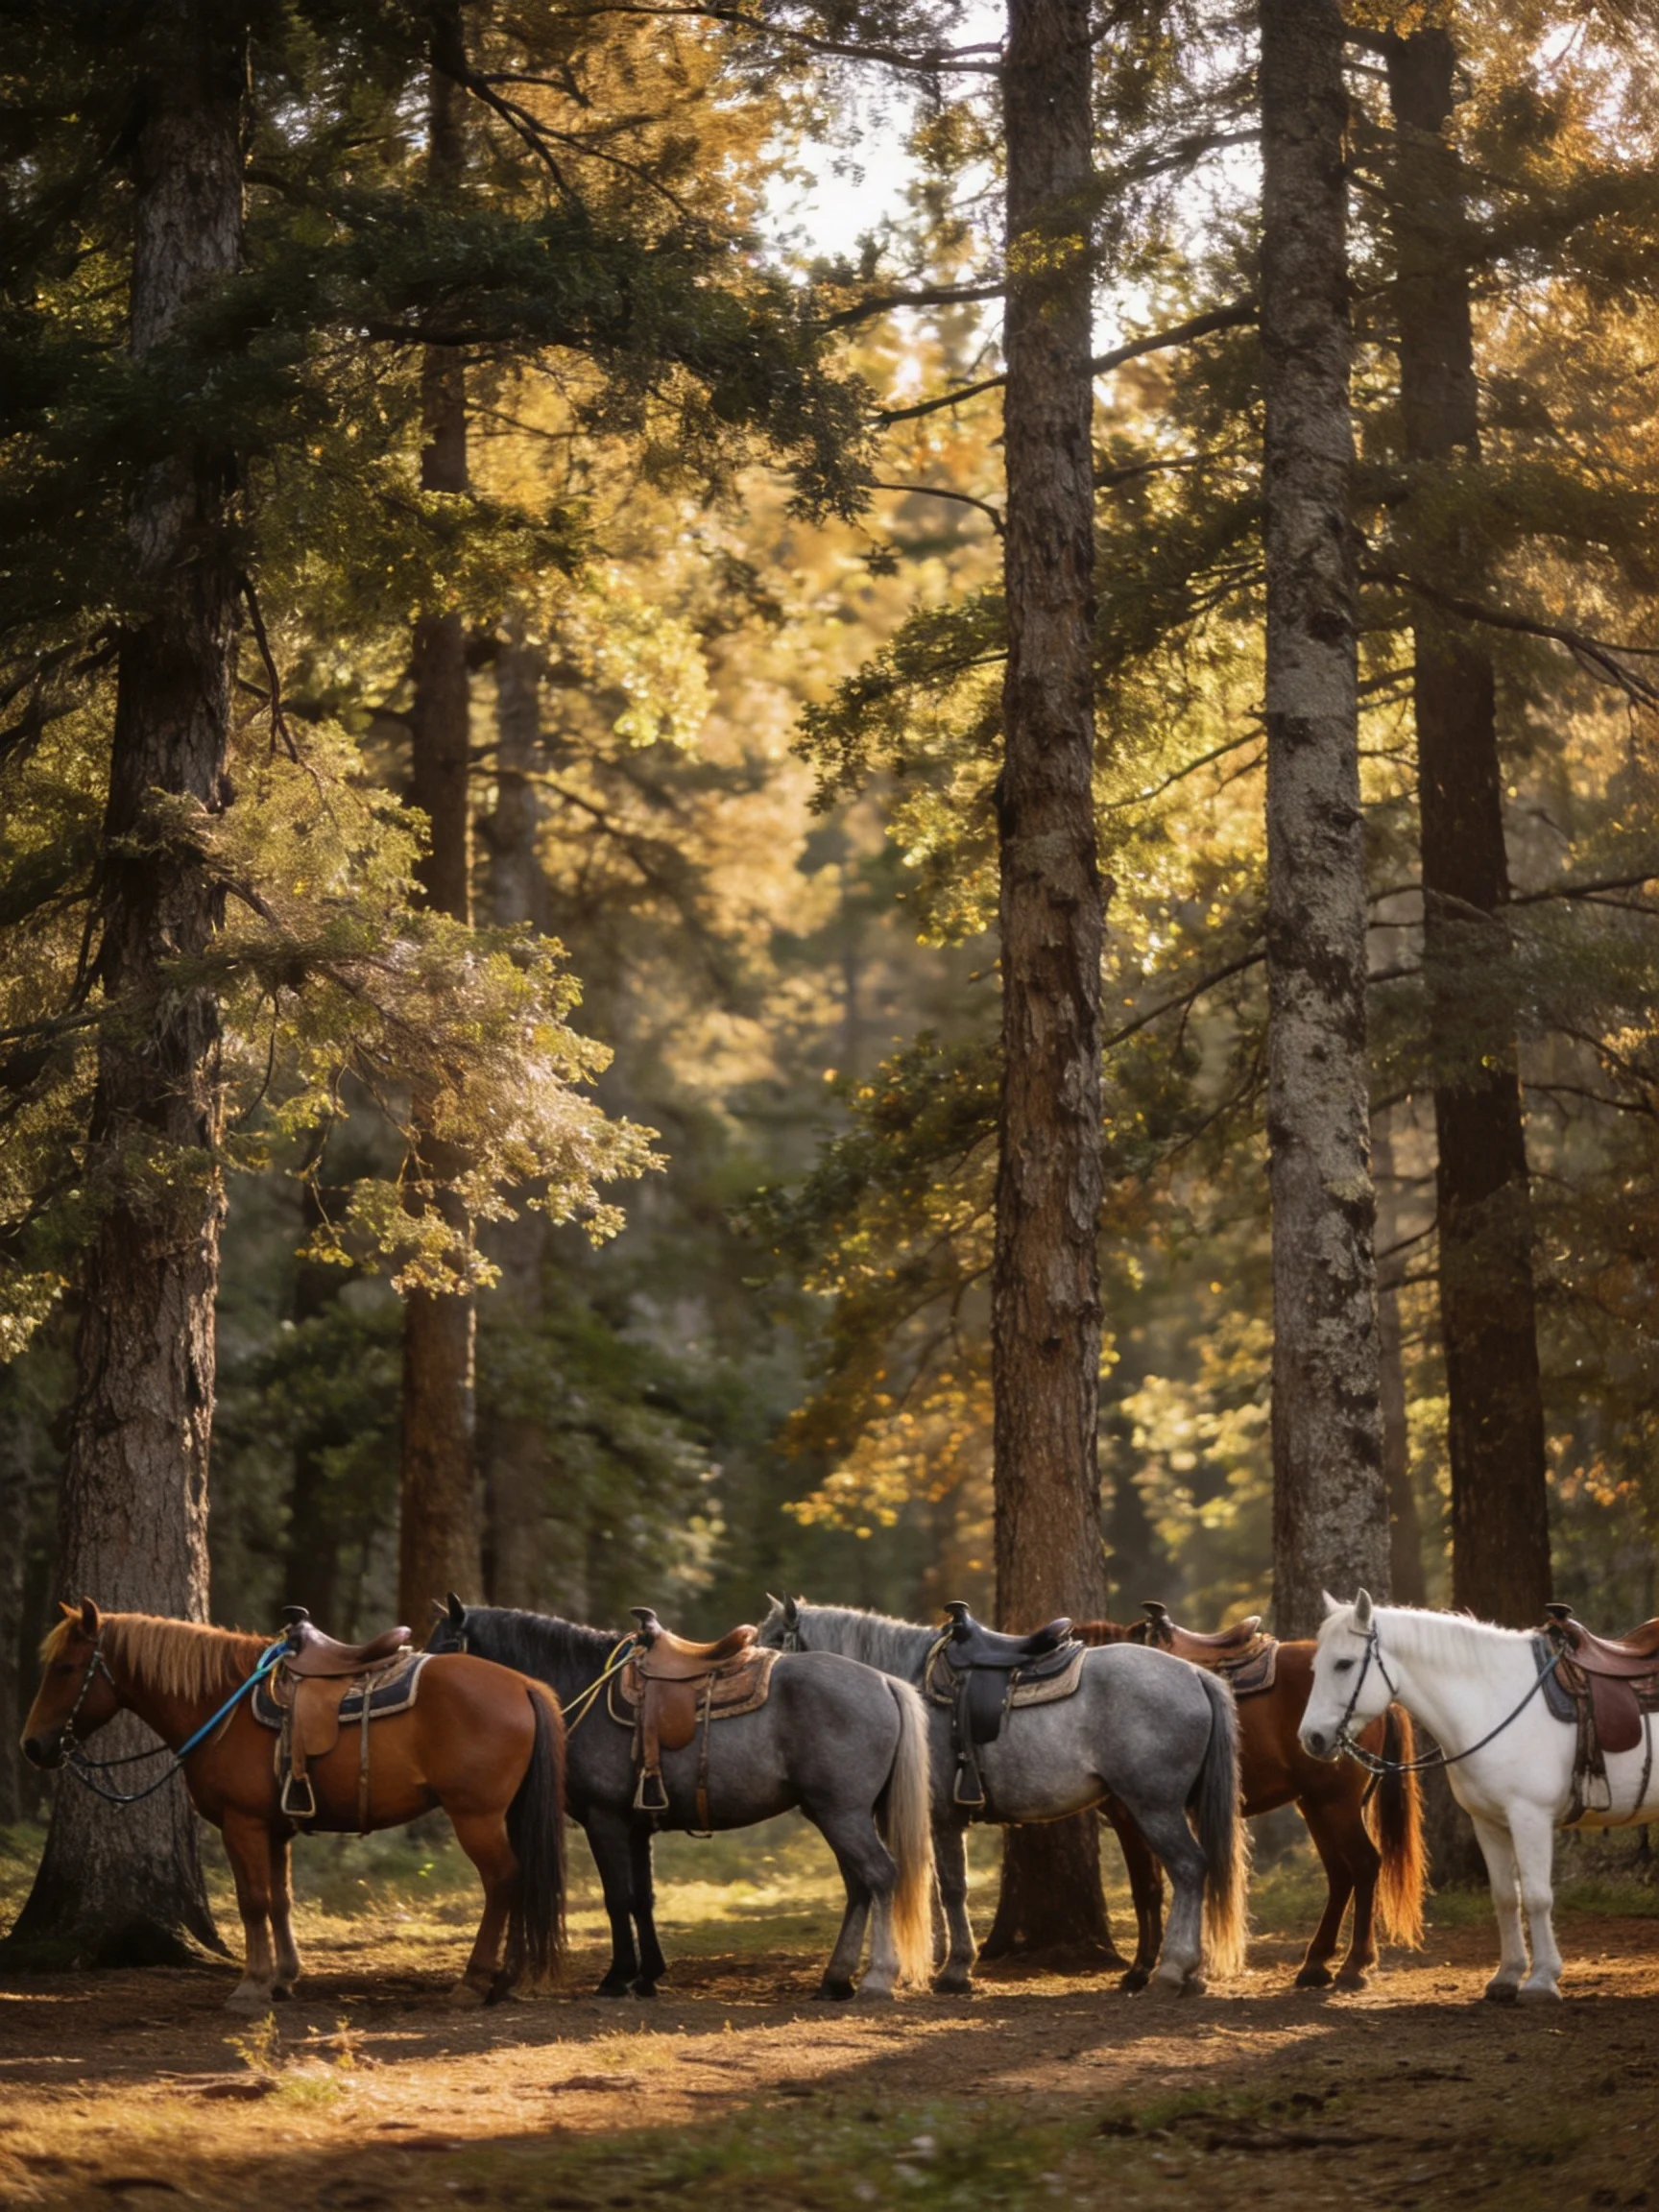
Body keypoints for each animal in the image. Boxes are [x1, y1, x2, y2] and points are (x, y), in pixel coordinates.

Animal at [20, 1600, 565, 2011]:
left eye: (66, 1668)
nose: (33, 1746)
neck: (224, 1706)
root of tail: (524, 1685)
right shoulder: (274, 1828)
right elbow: (280, 1899)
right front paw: (284, 1977)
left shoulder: (241, 1824)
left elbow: (252, 1901)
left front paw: (251, 1986)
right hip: (502, 1816)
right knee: (517, 1881)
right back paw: (506, 1976)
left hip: (476, 1817)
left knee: (502, 1881)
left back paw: (475, 1981)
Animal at [428, 1598, 935, 2001]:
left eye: (444, 1646)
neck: (582, 1683)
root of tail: (885, 1683)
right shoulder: (636, 1826)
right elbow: (642, 1898)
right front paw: (648, 1976)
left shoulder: (604, 1820)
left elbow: (617, 1897)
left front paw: (617, 1977)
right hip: (836, 1814)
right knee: (859, 1886)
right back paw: (834, 1980)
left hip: (842, 1814)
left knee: (880, 1876)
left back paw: (876, 1978)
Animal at [757, 1598, 1249, 1995]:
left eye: (774, 1642)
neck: (907, 1684)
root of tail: (1195, 1675)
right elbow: (940, 1888)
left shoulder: (942, 1819)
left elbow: (951, 1889)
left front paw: (955, 1970)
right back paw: (1187, 1972)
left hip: (1154, 1807)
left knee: (1189, 1868)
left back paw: (1172, 1969)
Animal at [1079, 1620, 1425, 1989]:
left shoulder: (1131, 1816)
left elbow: (1146, 1888)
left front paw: (1141, 1968)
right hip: (1316, 1805)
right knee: (1340, 1873)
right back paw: (1316, 1963)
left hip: (1336, 1803)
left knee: (1364, 1864)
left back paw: (1354, 1964)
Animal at [1301, 1592, 1659, 2003]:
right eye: (1315, 1666)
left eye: (1343, 1664)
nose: (1311, 1738)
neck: (1494, 1701)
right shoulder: (1488, 1823)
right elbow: (1505, 1897)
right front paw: (1507, 1976)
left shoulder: (1530, 1818)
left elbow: (1536, 1896)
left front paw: (1542, 1979)